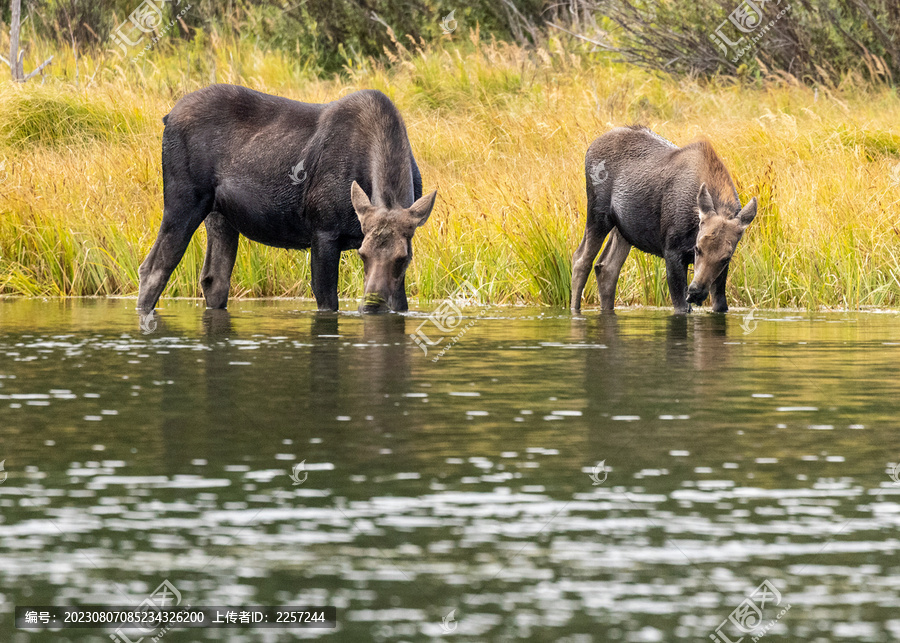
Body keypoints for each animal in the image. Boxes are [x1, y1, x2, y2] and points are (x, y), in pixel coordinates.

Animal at [134, 84, 440, 316]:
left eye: (403, 258)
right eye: (363, 254)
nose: (372, 305)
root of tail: (168, 117)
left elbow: (402, 304)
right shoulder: (323, 232)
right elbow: (327, 302)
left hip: (220, 215)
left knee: (214, 279)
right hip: (183, 201)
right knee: (153, 268)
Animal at [568, 126, 760, 314]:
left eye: (726, 258)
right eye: (697, 249)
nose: (696, 292)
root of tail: (590, 148)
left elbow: (720, 306)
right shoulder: (672, 252)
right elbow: (681, 308)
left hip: (623, 230)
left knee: (607, 266)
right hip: (597, 214)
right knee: (581, 259)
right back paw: (574, 310)